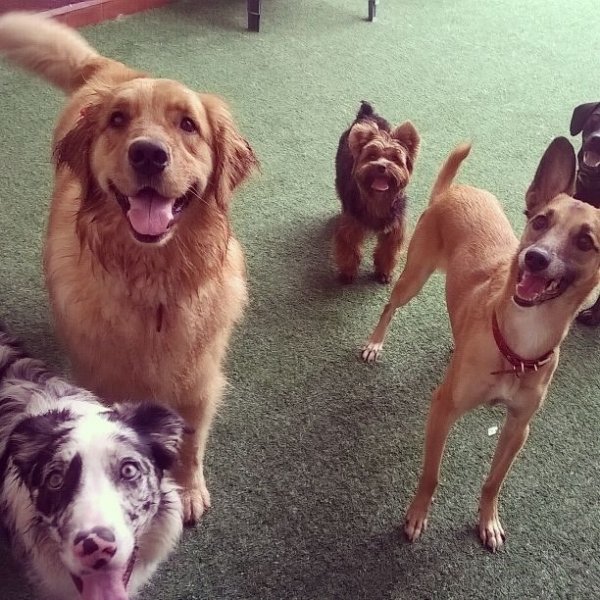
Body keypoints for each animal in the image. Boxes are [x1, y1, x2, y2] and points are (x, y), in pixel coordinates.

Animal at [364, 138, 600, 552]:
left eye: (586, 241)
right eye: (541, 221)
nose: (534, 259)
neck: (520, 340)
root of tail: (454, 190)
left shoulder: (518, 429)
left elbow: (494, 481)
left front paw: (488, 520)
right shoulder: (442, 408)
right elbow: (431, 475)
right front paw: (417, 515)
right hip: (413, 277)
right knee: (389, 307)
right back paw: (375, 342)